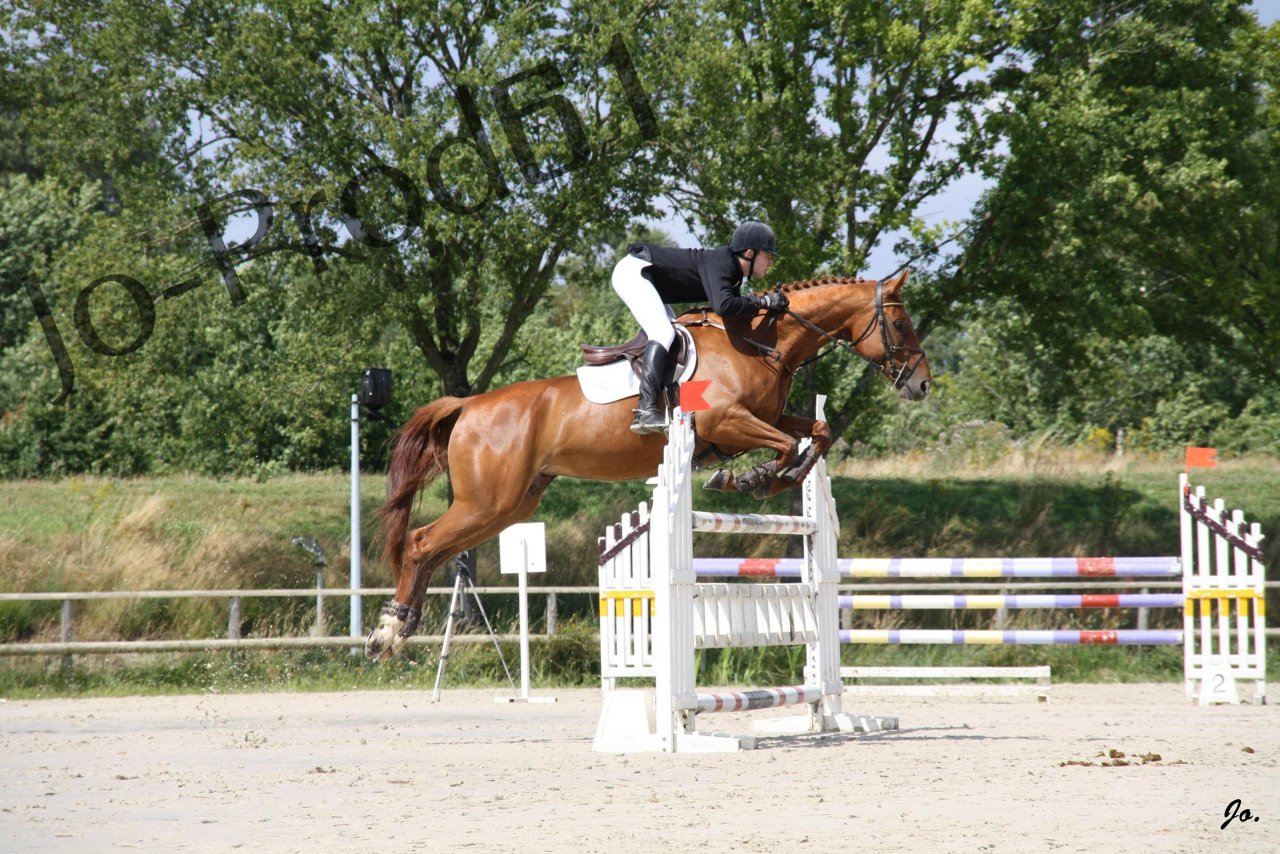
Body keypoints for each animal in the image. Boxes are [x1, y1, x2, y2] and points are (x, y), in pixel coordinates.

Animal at [368, 270, 931, 660]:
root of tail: (468, 404)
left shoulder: (765, 417)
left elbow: (815, 433)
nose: (922, 385)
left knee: (435, 551)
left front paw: (764, 478)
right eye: (901, 323)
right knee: (420, 543)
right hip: (488, 501)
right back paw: (388, 632)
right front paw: (753, 478)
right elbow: (787, 445)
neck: (760, 343)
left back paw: (400, 629)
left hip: (509, 504)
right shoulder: (727, 421)